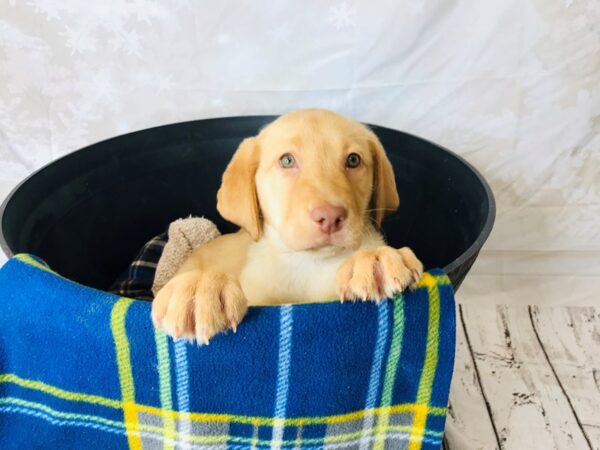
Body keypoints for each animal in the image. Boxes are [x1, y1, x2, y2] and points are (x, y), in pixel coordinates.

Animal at [151, 110, 422, 344]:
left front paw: (375, 259)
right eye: (287, 160)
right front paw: (201, 290)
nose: (330, 216)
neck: (308, 264)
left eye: (353, 160)